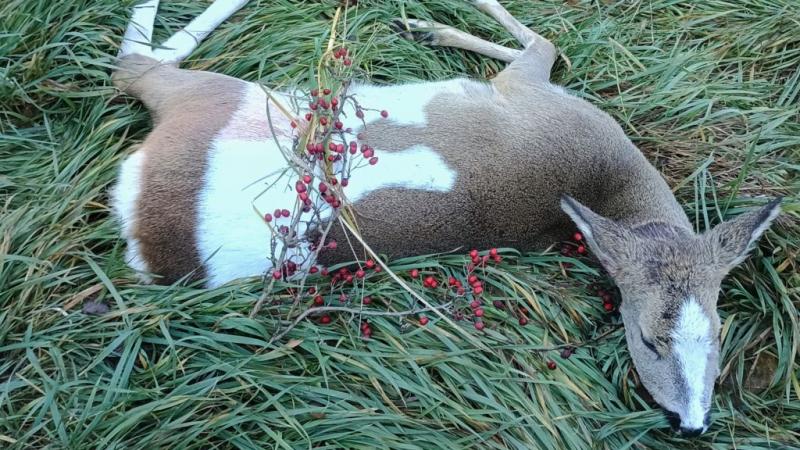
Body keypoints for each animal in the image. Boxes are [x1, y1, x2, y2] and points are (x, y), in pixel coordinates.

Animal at [112, 0, 780, 436]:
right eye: (645, 337)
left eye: (719, 332)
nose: (691, 424)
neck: (607, 178)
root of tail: (138, 221)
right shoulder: (532, 94)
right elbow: (547, 44)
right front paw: (430, 25)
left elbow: (545, 44)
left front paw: (427, 26)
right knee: (131, 67)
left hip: (213, 95)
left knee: (134, 66)